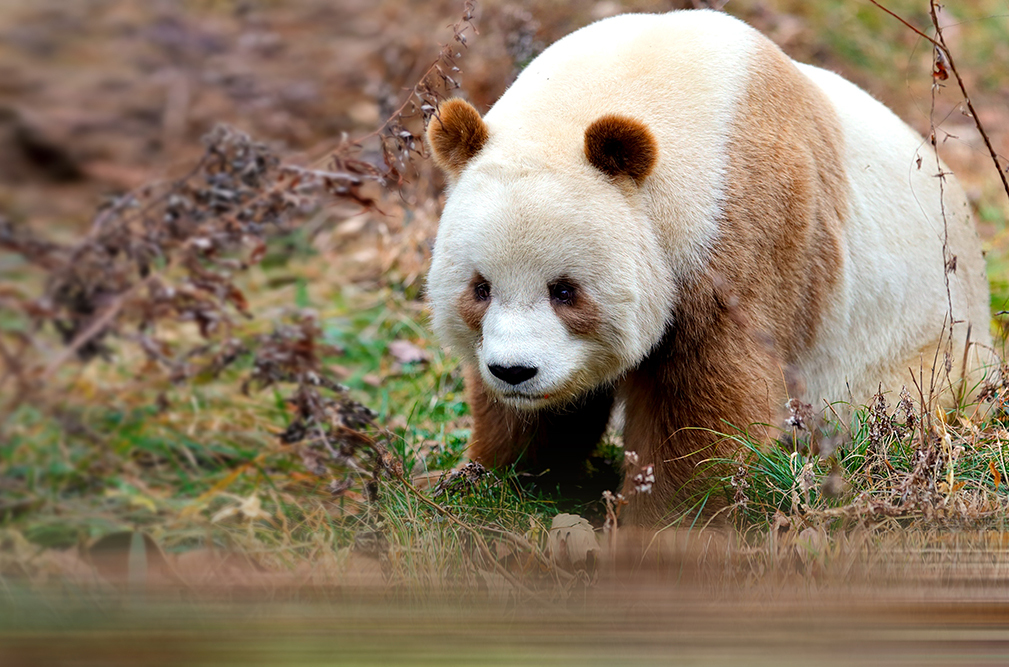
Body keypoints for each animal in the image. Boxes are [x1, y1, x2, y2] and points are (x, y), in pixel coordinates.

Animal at [423, 7, 992, 524]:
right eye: (480, 288)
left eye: (565, 290)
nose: (514, 371)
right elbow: (541, 421)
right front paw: (483, 481)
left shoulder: (743, 224)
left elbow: (710, 400)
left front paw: (663, 521)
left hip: (916, 355)